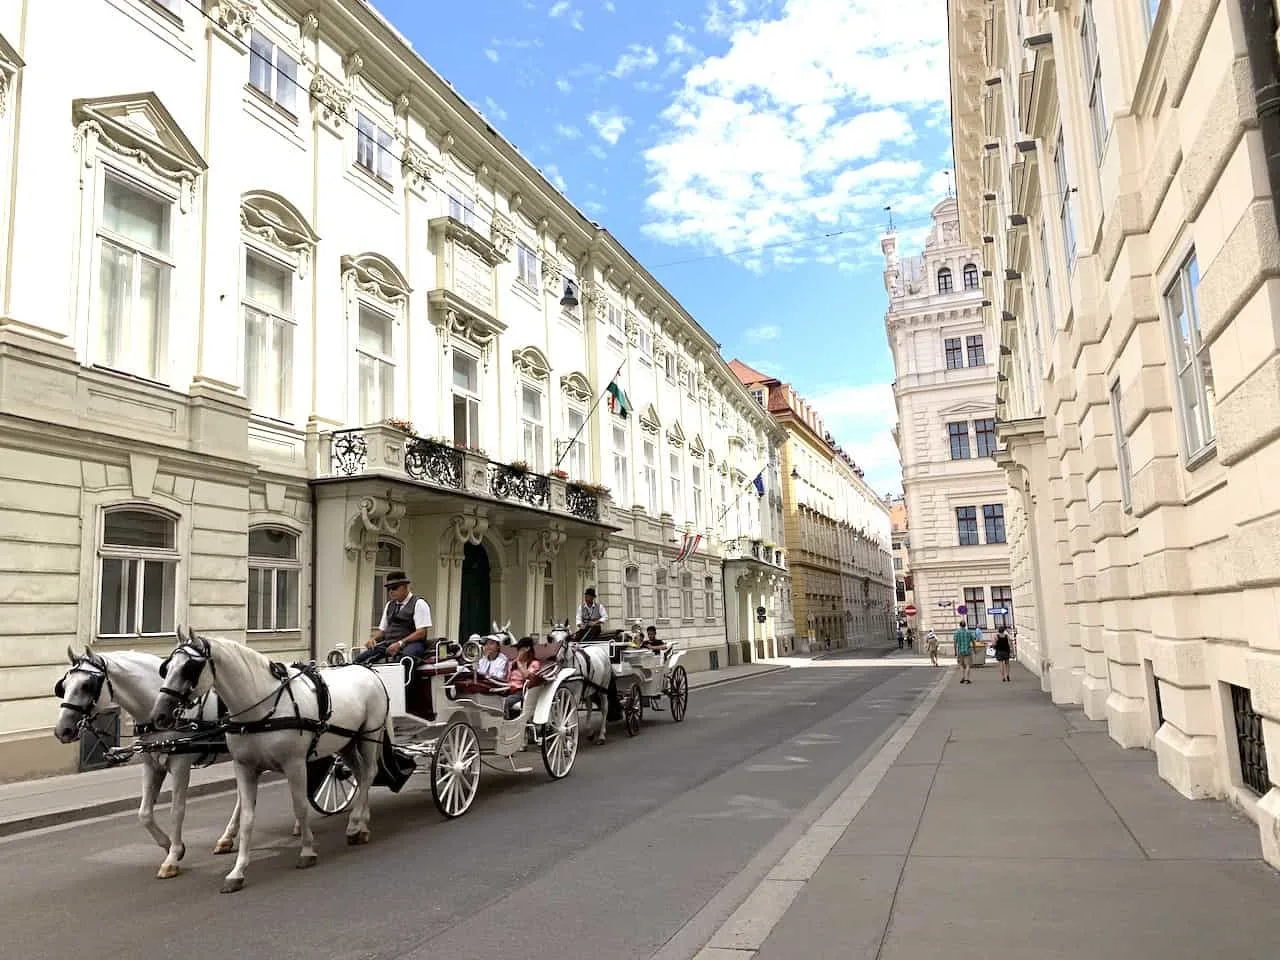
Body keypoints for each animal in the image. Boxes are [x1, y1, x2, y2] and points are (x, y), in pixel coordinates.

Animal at [53, 647, 295, 880]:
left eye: (87, 685)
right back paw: (227, 838)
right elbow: (144, 814)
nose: (62, 730)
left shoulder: (180, 765)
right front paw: (170, 846)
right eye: (64, 685)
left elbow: (176, 810)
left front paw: (172, 858)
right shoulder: (151, 765)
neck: (155, 706)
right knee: (243, 798)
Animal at [146, 632, 389, 896]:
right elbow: (247, 817)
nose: (159, 715)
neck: (262, 710)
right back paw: (362, 821)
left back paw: (356, 826)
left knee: (369, 773)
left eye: (190, 668)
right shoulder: (245, 767)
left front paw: (307, 851)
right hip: (346, 742)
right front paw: (237, 871)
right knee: (360, 774)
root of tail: (368, 671)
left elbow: (300, 807)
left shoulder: (295, 765)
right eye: (167, 667)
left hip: (368, 735)